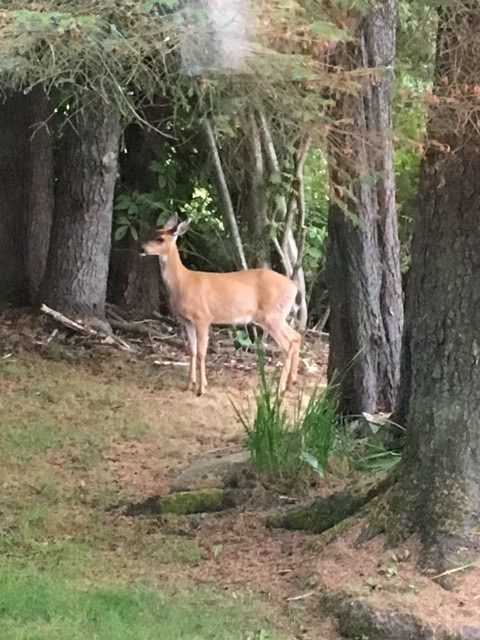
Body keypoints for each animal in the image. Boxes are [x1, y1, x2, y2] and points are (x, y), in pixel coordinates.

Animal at [141, 214, 301, 396]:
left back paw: (279, 389)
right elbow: (192, 350)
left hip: (271, 316)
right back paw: (291, 383)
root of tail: (294, 287)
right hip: (277, 316)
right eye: (153, 232)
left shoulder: (203, 317)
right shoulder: (187, 321)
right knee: (296, 337)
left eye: (160, 239)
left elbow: (202, 352)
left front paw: (201, 388)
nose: (142, 249)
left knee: (288, 345)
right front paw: (189, 385)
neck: (183, 282)